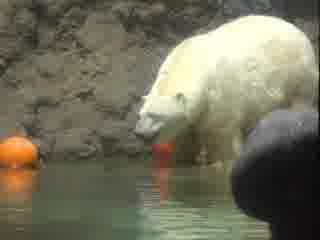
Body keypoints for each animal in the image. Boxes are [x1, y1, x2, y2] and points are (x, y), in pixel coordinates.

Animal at [134, 14, 318, 167]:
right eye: (140, 114)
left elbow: (221, 137)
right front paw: (182, 161)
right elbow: (184, 141)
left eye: (156, 115)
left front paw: (221, 163)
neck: (194, 62)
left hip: (297, 75)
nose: (139, 133)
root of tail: (298, 30)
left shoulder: (218, 97)